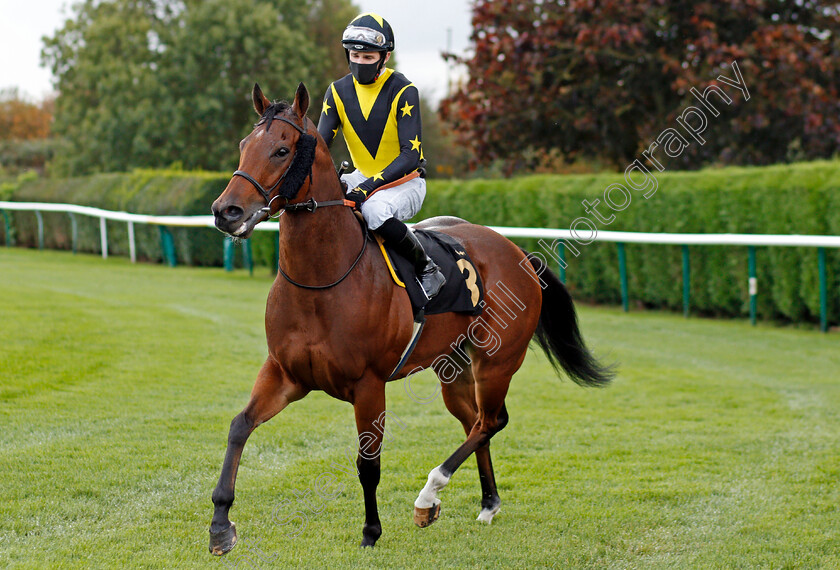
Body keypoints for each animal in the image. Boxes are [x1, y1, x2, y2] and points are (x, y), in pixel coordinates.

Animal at [207, 82, 612, 552]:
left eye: (282, 149)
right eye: (244, 145)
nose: (226, 211)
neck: (322, 280)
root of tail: (519, 255)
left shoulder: (368, 386)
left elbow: (368, 462)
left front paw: (370, 532)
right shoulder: (285, 373)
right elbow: (239, 427)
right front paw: (220, 524)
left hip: (497, 363)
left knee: (491, 420)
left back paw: (428, 496)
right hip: (454, 368)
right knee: (476, 422)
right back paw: (485, 503)